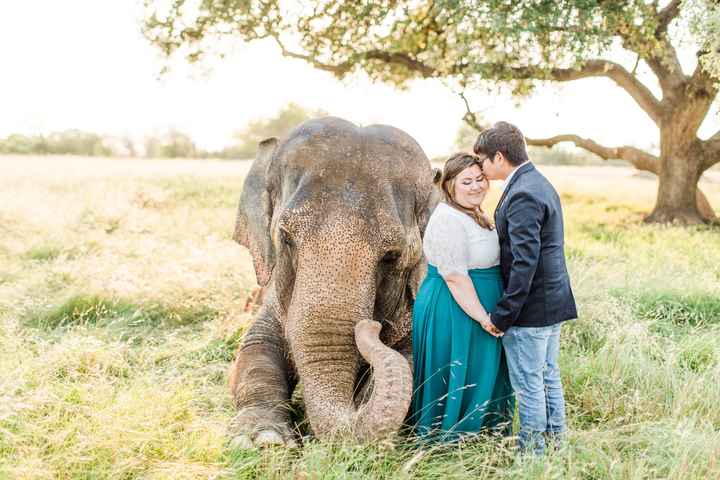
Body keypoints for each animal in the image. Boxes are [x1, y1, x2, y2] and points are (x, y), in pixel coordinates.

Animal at [231, 116, 442, 446]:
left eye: (392, 255)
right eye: (286, 237)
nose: (371, 327)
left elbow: (415, 359)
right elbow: (256, 347)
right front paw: (262, 440)